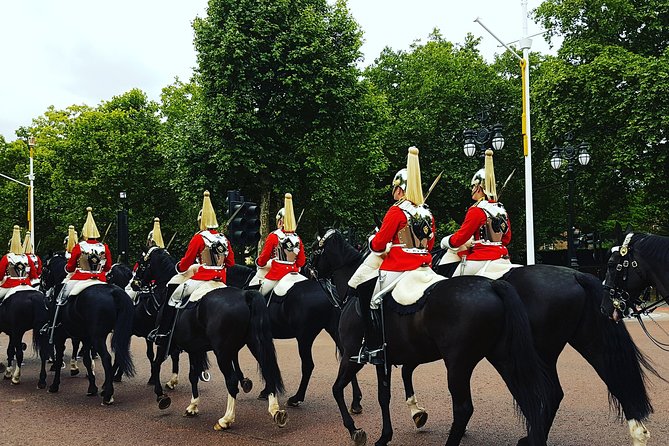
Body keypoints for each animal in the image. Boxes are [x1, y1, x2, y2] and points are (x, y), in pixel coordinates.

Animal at [39, 254, 135, 404]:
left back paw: (108, 394)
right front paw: (92, 387)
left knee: (106, 358)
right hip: (118, 334)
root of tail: (114, 291)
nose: (42, 288)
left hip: (98, 337)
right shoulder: (85, 337)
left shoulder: (59, 336)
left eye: (44, 269)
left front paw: (54, 385)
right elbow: (87, 360)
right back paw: (105, 388)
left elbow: (60, 358)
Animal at [134, 247, 288, 428]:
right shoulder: (194, 348)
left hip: (222, 353)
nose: (134, 283)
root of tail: (245, 296)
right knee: (267, 371)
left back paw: (226, 419)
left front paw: (162, 396)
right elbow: (193, 375)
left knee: (231, 381)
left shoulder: (164, 344)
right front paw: (192, 406)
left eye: (141, 264)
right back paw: (275, 411)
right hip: (254, 344)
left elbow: (157, 364)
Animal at [224, 264, 360, 412]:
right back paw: (356, 403)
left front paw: (249, 384)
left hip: (304, 337)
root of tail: (326, 291)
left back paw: (296, 398)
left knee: (308, 365)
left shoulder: (249, 336)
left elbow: (254, 358)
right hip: (335, 332)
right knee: (348, 359)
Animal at [310, 228, 552, 444]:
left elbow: (337, 389)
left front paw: (355, 429)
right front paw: (387, 434)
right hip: (502, 357)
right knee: (525, 396)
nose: (308, 268)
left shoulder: (353, 356)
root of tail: (493, 285)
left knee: (464, 409)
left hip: (458, 364)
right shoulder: (384, 359)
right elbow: (384, 396)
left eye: (314, 249)